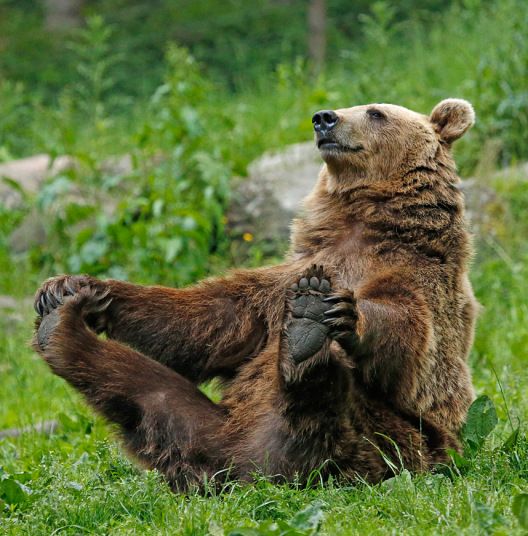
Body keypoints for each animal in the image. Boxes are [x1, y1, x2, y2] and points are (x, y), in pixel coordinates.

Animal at [33, 98, 478, 492]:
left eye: (376, 112)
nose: (324, 118)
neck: (360, 226)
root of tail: (252, 470)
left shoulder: (418, 275)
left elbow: (405, 329)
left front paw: (331, 308)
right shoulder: (282, 281)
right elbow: (206, 320)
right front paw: (73, 286)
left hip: (393, 446)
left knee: (336, 405)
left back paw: (305, 342)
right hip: (205, 428)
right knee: (145, 391)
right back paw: (60, 328)